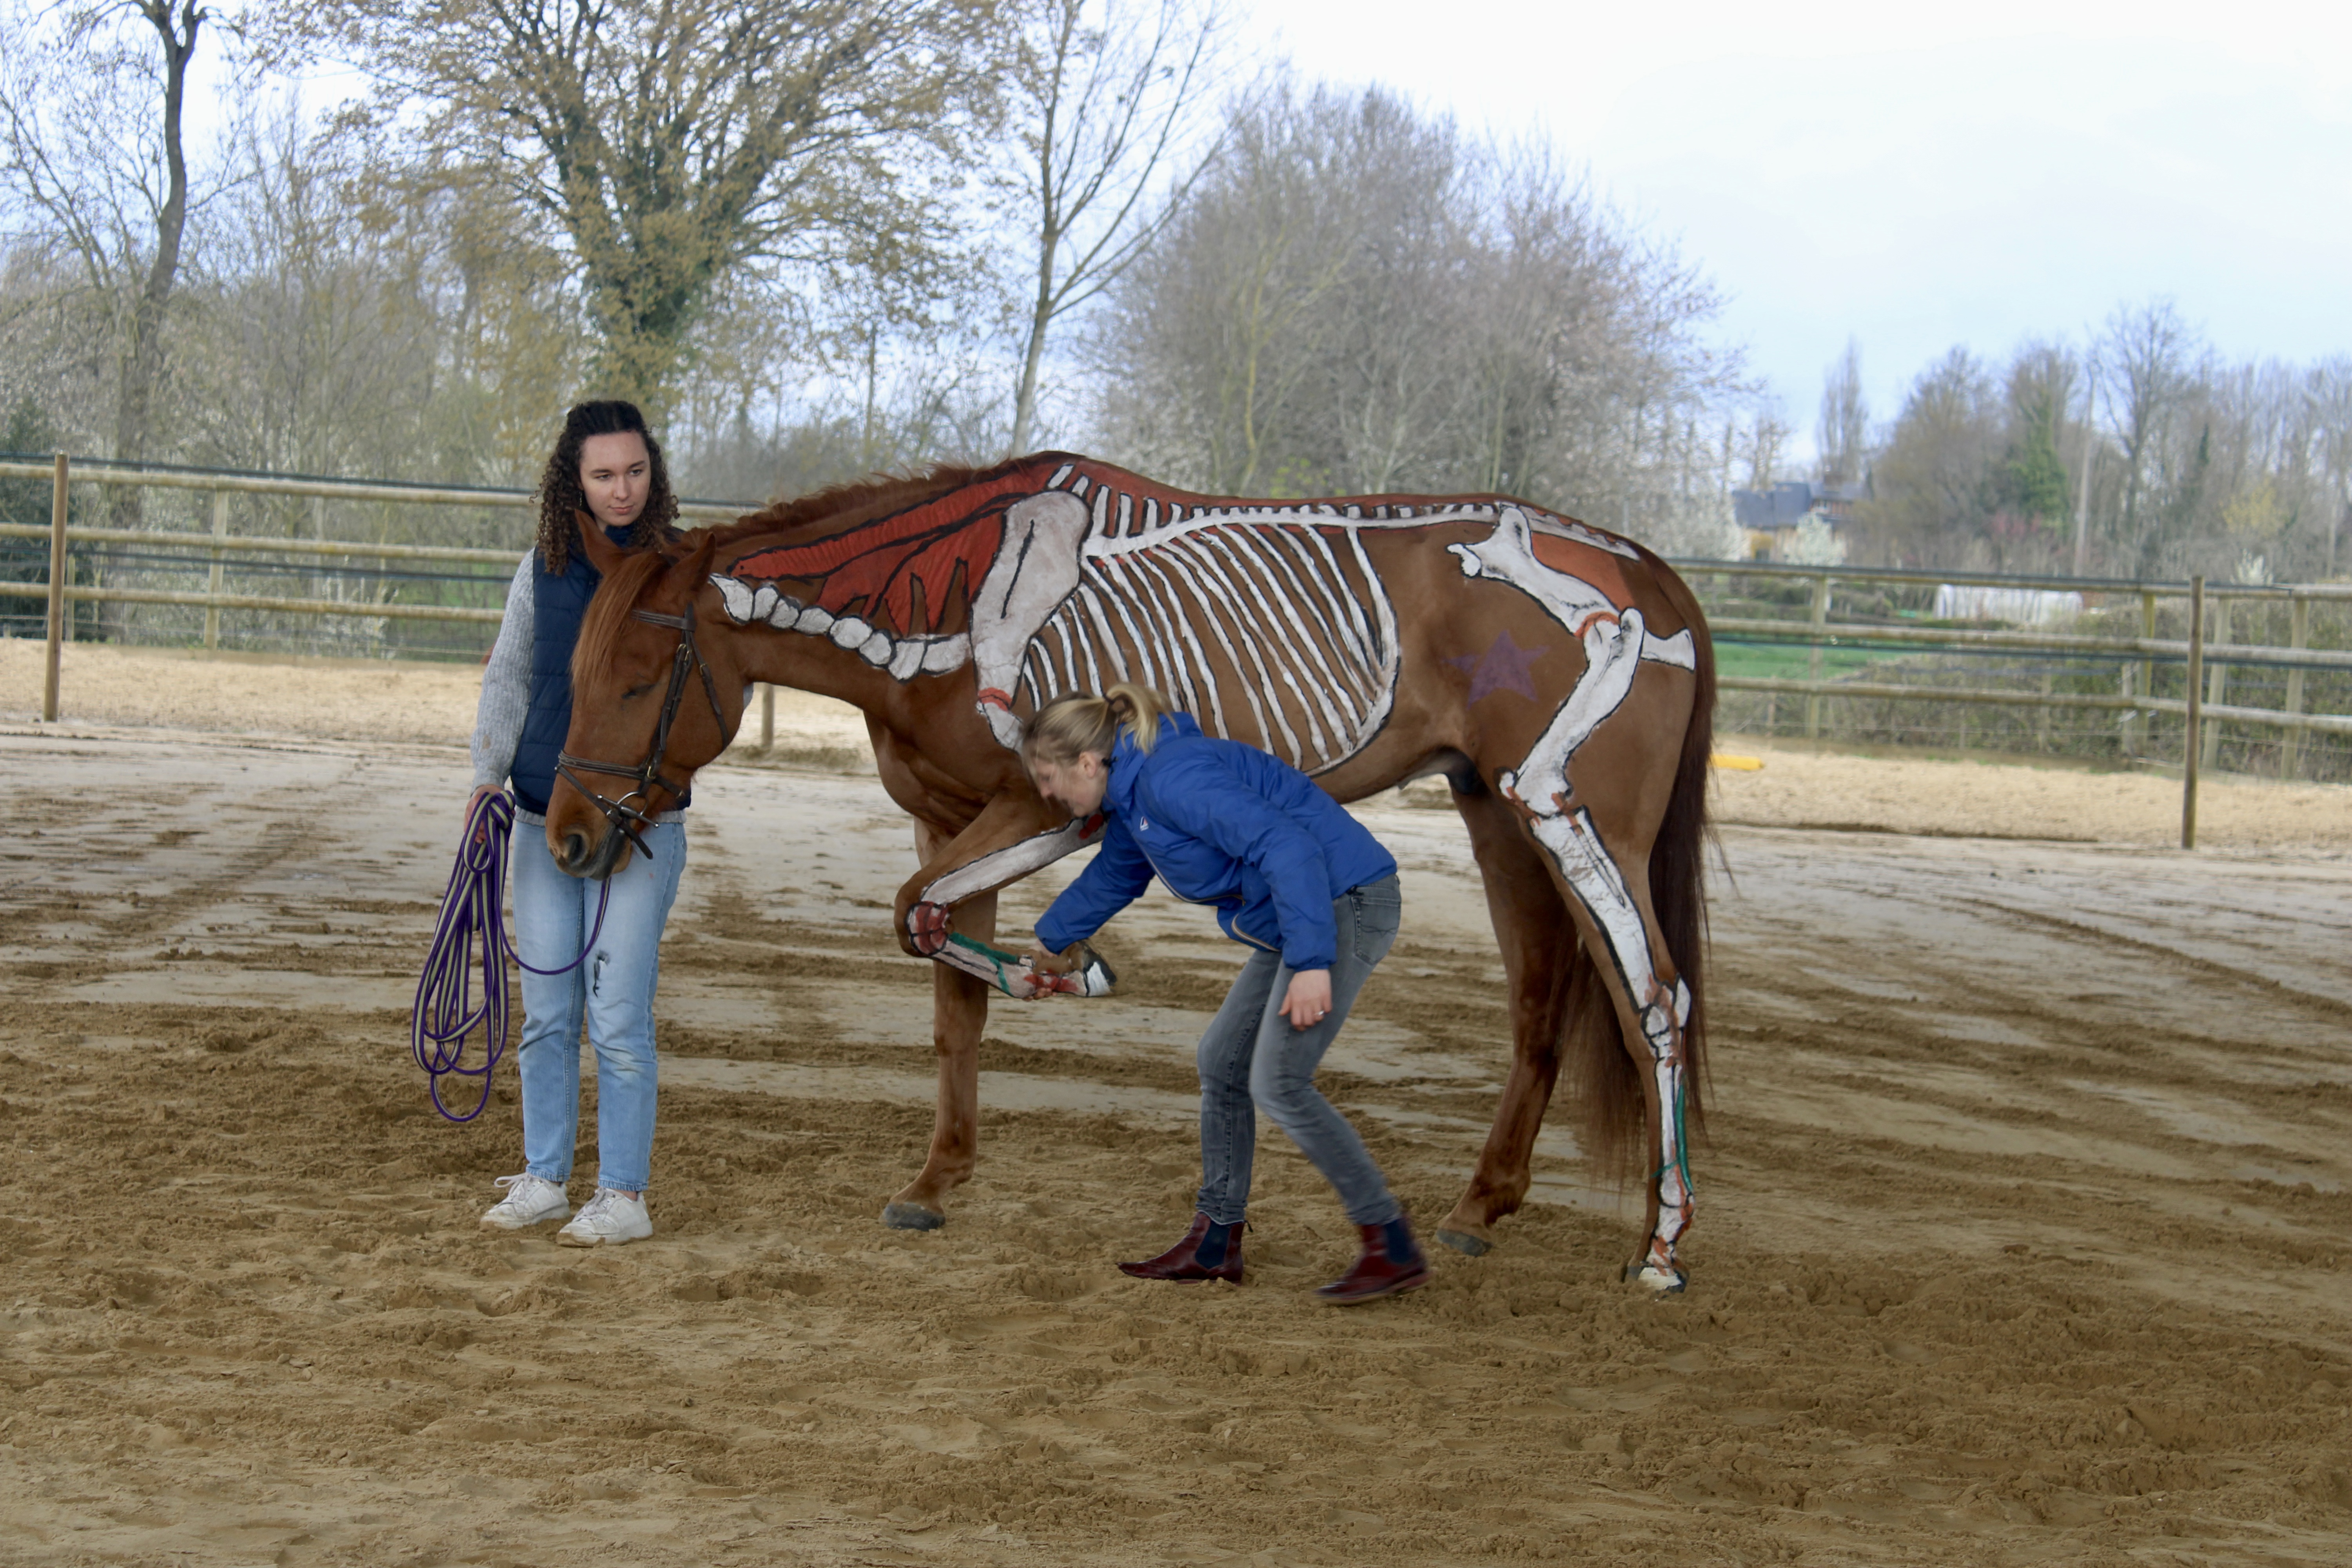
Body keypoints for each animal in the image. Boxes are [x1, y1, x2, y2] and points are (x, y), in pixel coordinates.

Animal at [548, 453, 1716, 1292]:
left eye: (639, 678)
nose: (567, 838)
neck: (953, 608)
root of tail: (1642, 568)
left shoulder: (1047, 809)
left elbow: (921, 919)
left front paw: (1070, 972)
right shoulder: (945, 820)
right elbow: (946, 983)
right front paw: (937, 1177)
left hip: (1565, 812)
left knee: (1655, 997)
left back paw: (1661, 1247)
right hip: (1495, 817)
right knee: (1542, 1003)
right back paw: (1483, 1205)